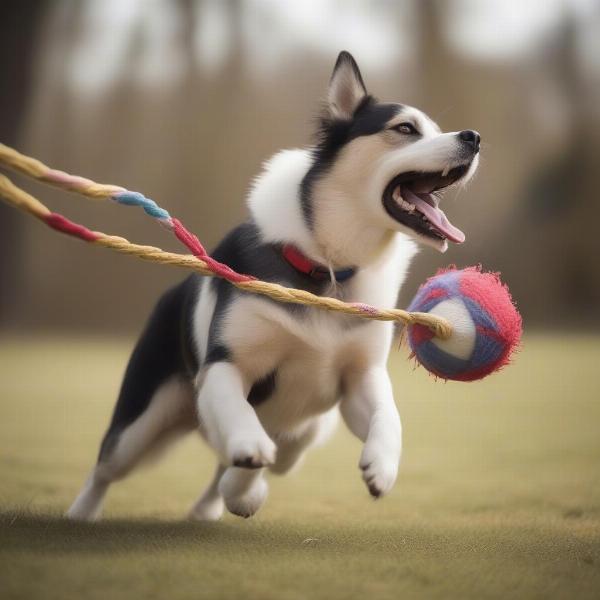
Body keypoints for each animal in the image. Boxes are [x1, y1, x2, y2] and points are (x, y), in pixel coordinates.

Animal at [67, 51, 478, 520]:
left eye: (435, 128)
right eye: (406, 129)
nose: (474, 137)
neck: (327, 267)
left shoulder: (361, 377)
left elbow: (388, 415)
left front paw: (382, 466)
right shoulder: (225, 365)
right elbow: (242, 424)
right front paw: (248, 461)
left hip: (307, 426)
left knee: (276, 455)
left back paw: (216, 503)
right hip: (143, 420)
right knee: (107, 466)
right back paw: (83, 513)